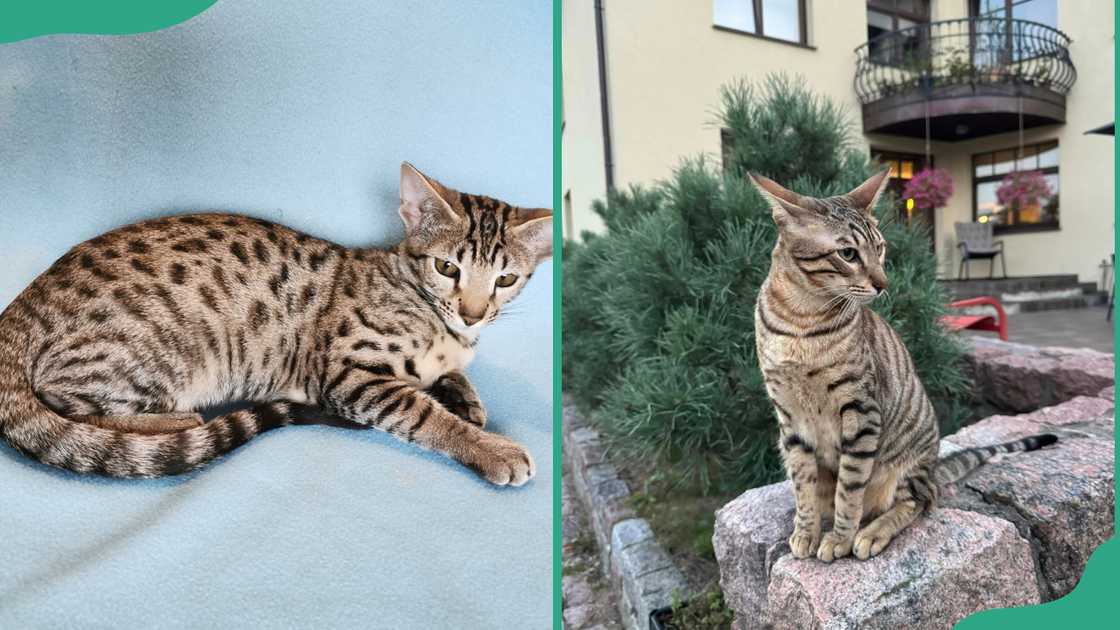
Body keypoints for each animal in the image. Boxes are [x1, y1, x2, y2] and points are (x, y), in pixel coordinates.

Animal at [0, 161, 551, 486]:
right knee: (64, 401)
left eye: (505, 278)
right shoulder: (347, 373)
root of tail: (24, 305)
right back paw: (174, 423)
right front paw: (489, 446)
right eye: (446, 267)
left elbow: (450, 375)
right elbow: (422, 414)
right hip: (151, 352)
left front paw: (466, 398)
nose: (473, 311)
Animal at [748, 168, 1052, 558]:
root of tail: (934, 466)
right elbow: (804, 485)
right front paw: (806, 530)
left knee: (920, 500)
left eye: (879, 248)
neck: (801, 318)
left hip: (908, 465)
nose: (883, 283)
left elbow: (849, 489)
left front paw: (840, 539)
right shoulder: (789, 418)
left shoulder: (861, 411)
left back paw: (873, 531)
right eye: (848, 254)